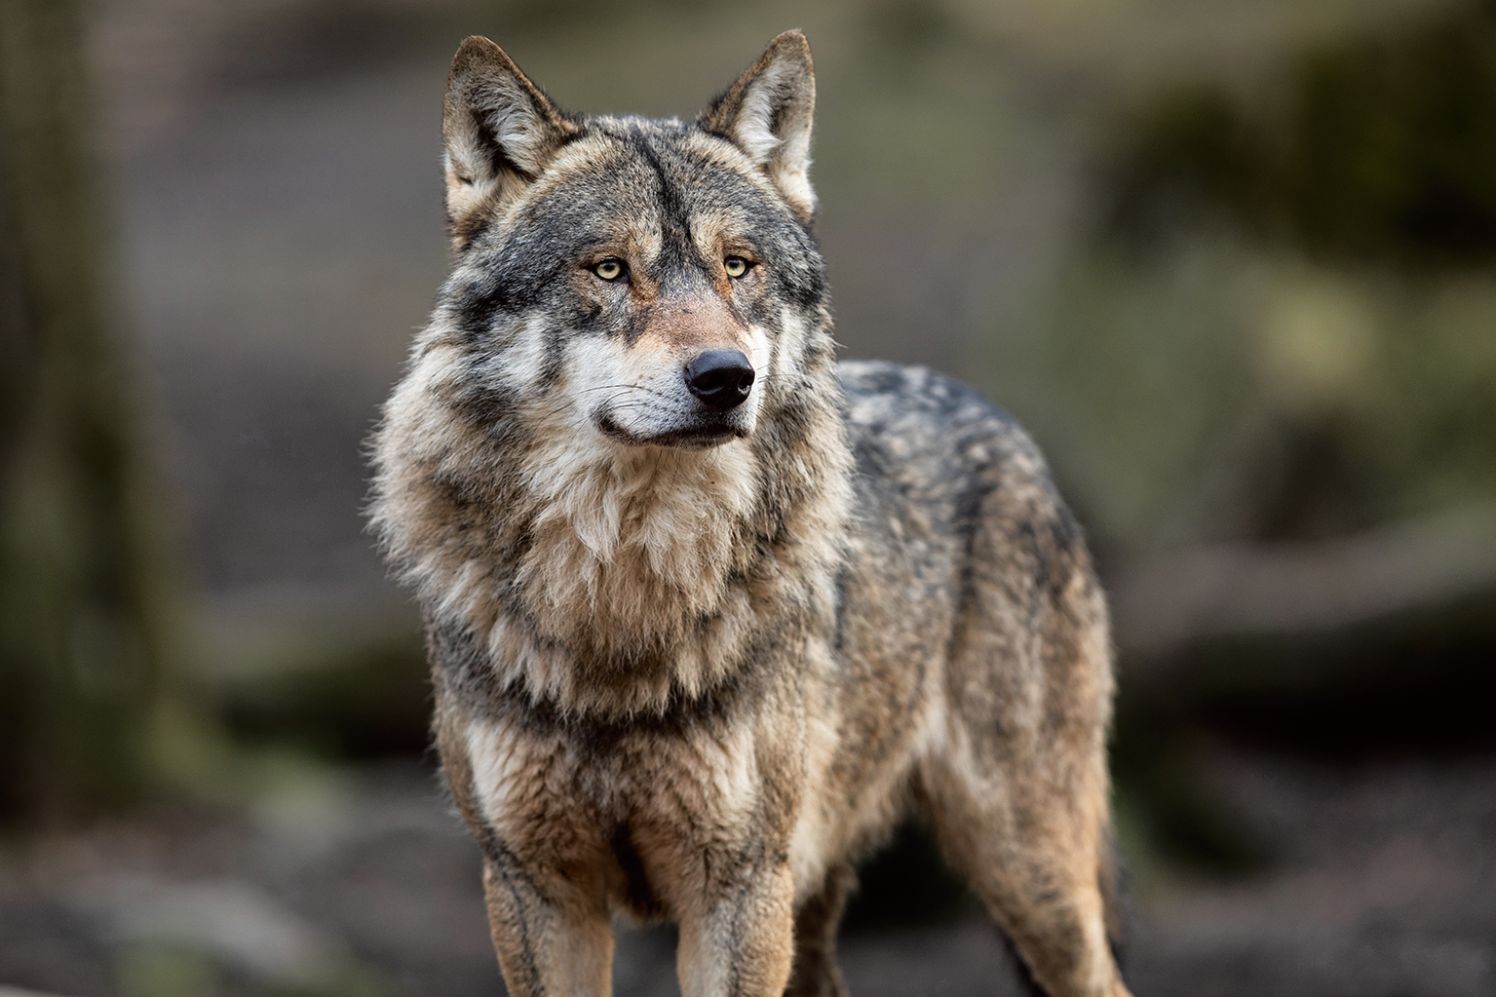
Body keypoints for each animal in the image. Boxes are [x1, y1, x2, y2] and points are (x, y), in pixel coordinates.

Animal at [369, 30, 1130, 997]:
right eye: (610, 268)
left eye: (737, 265)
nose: (727, 377)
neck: (623, 601)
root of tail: (996, 416)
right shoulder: (532, 888)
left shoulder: (737, 887)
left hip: (1028, 877)